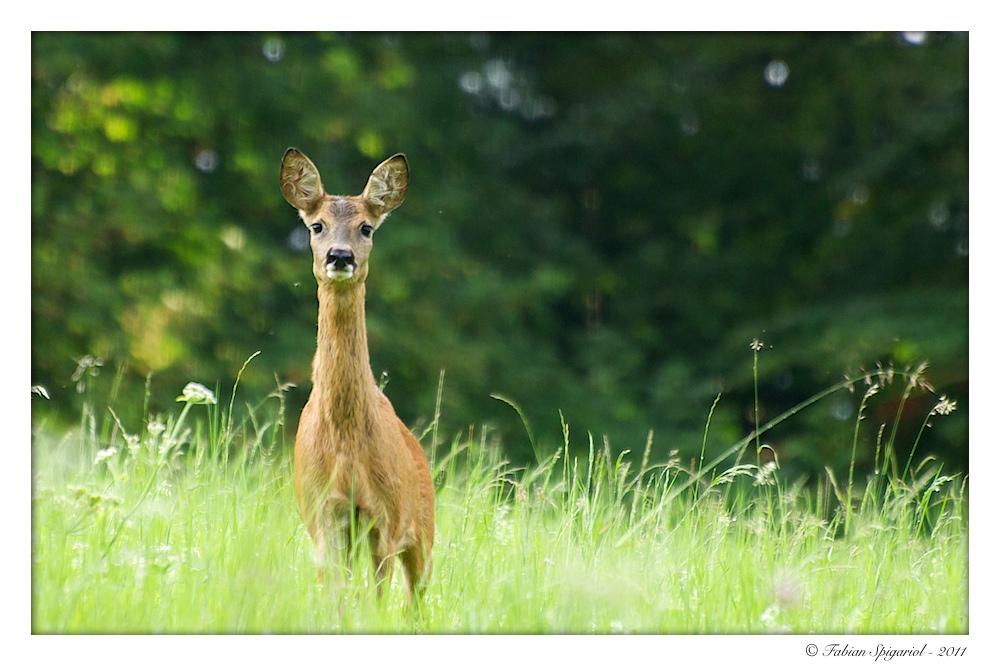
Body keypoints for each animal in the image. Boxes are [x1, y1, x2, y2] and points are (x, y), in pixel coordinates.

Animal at [284, 148, 436, 592]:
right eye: (316, 225)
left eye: (366, 228)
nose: (340, 255)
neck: (345, 445)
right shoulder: (322, 514)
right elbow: (337, 594)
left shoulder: (385, 518)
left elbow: (377, 595)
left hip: (423, 528)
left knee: (416, 594)